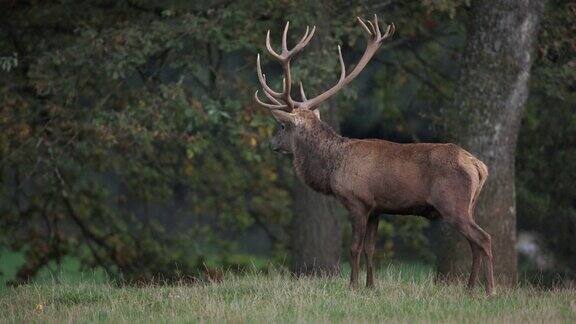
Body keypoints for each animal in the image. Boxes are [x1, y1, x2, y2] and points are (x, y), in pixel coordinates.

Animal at [255, 13, 496, 294]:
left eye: (282, 126)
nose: (272, 143)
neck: (332, 168)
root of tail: (478, 166)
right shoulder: (377, 207)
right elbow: (371, 248)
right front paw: (370, 286)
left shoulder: (356, 200)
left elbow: (355, 247)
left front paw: (352, 286)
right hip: (469, 205)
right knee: (474, 243)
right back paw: (470, 289)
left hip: (452, 203)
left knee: (483, 238)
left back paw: (490, 289)